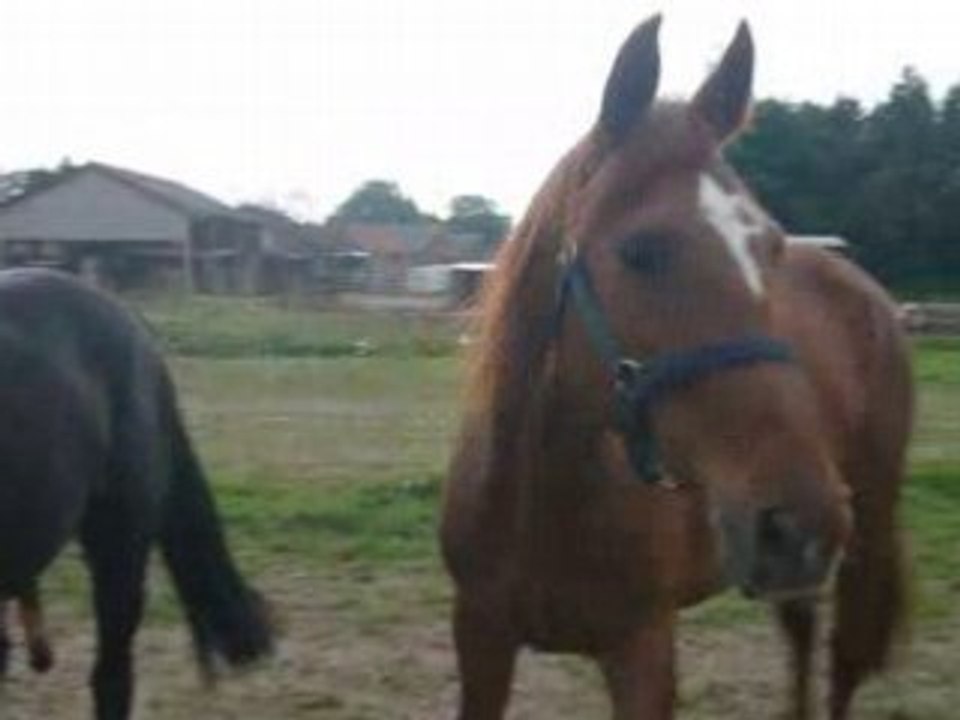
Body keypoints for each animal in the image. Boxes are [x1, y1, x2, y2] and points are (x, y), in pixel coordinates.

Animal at [441, 16, 912, 720]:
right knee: (801, 631)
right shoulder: (480, 637)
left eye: (770, 247)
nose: (798, 524)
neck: (540, 499)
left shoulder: (642, 650)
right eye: (641, 251)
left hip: (867, 527)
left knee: (844, 661)